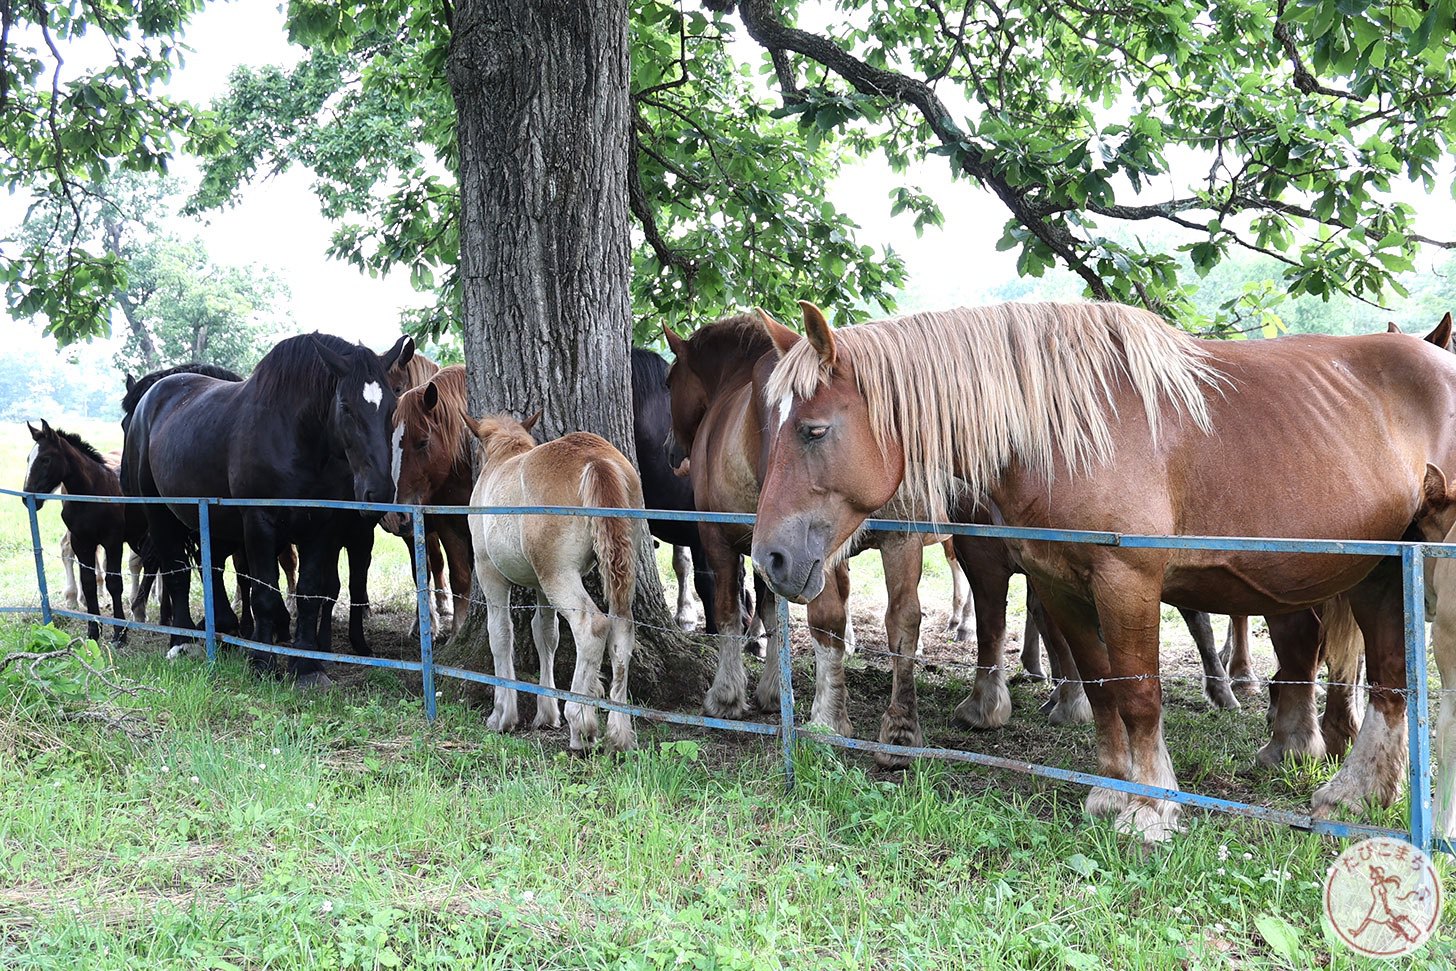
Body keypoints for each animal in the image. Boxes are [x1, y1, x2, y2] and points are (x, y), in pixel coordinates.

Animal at [122, 334, 410, 684]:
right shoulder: (259, 523)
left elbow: (310, 592)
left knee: (210, 569)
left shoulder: (322, 526)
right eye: (345, 407)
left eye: (392, 407)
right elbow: (264, 594)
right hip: (161, 514)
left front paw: (307, 666)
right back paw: (182, 641)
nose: (378, 491)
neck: (295, 436)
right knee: (177, 573)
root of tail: (154, 394)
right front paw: (262, 661)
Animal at [468, 413, 646, 757]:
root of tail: (596, 459)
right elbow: (545, 635)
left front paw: (502, 715)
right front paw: (546, 713)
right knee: (621, 628)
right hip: (613, 569)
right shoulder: (539, 585)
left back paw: (581, 725)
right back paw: (619, 733)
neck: (503, 458)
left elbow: (500, 634)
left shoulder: (489, 573)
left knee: (591, 626)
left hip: (559, 575)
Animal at [751, 301, 1456, 844]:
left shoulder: (1127, 581)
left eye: (813, 430)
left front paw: (1150, 810)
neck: (1068, 430)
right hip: (1381, 573)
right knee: (1390, 683)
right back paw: (1356, 796)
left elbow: (1139, 696)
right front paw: (1112, 791)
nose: (771, 559)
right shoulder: (1062, 584)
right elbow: (1100, 686)